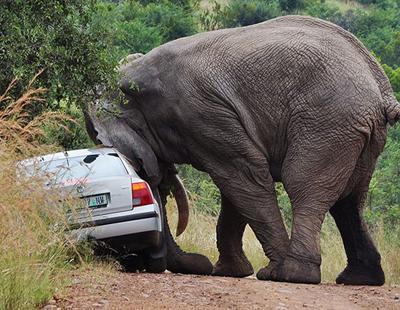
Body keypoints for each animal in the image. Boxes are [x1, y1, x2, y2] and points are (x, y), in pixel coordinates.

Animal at [84, 15, 400, 284]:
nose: (197, 264)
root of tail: (381, 91)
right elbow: (236, 188)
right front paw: (230, 272)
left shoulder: (201, 111)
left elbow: (242, 178)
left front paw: (260, 271)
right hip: (356, 130)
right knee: (350, 200)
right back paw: (359, 279)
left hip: (327, 120)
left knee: (303, 184)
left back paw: (290, 274)